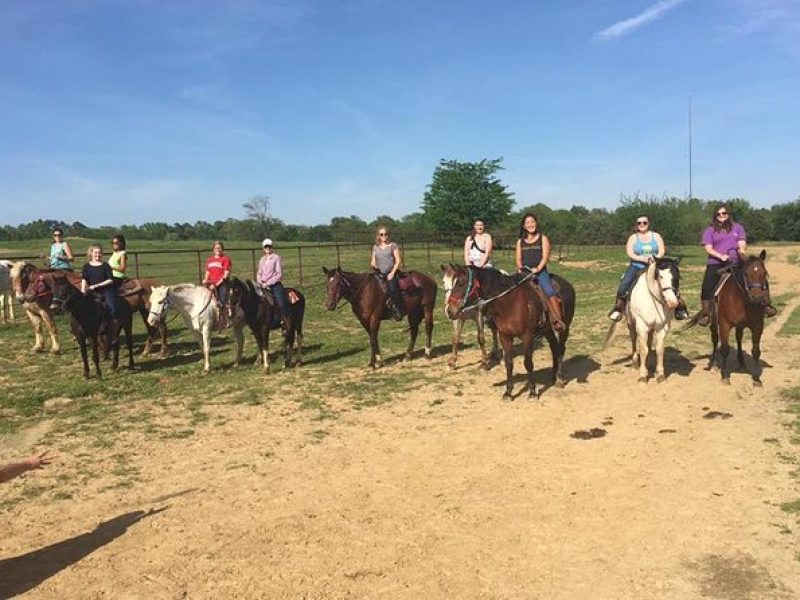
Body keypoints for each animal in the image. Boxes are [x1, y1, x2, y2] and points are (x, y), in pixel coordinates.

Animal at [444, 266, 576, 398]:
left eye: (461, 283)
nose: (450, 311)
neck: (511, 303)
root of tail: (568, 284)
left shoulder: (527, 335)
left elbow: (528, 362)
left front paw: (532, 392)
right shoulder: (505, 336)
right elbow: (508, 363)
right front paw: (508, 393)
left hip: (565, 327)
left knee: (561, 349)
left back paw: (559, 379)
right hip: (547, 329)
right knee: (554, 347)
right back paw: (553, 376)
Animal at [704, 251, 764, 386]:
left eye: (764, 273)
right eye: (746, 274)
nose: (757, 299)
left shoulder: (757, 326)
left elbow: (756, 351)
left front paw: (756, 378)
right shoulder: (724, 325)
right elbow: (725, 349)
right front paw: (725, 375)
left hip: (740, 326)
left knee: (739, 338)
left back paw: (741, 362)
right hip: (714, 323)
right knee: (715, 340)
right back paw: (713, 364)